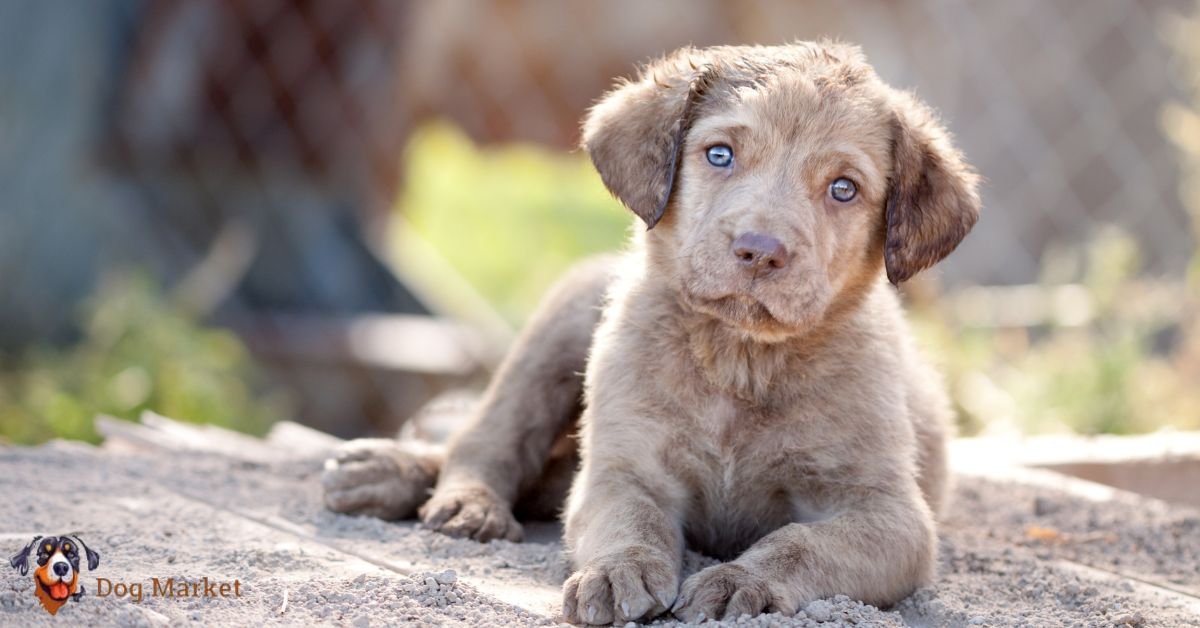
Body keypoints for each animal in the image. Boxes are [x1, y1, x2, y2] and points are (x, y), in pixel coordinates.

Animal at [324, 41, 979, 624]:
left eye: (844, 188)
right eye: (720, 154)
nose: (759, 251)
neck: (738, 359)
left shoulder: (891, 516)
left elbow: (800, 543)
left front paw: (740, 580)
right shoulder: (622, 468)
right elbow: (632, 521)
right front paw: (619, 570)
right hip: (568, 317)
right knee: (488, 438)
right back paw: (430, 487)